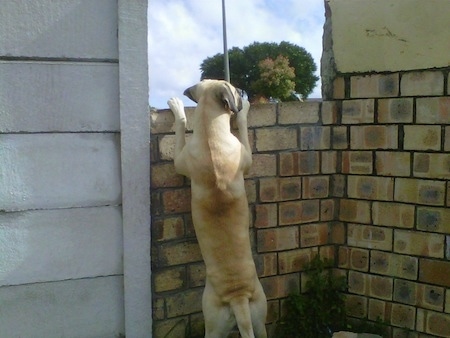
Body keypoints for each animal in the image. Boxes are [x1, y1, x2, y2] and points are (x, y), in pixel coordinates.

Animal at [168, 80, 268, 338]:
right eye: (234, 89)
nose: (242, 94)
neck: (210, 134)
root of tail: (238, 297)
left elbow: (182, 125)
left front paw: (177, 108)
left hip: (222, 323)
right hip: (257, 321)